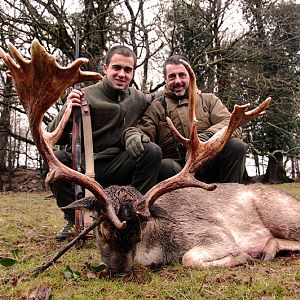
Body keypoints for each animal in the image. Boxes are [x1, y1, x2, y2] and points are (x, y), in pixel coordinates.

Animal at [0, 38, 300, 280]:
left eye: (139, 233)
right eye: (101, 230)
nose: (120, 272)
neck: (158, 245)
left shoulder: (216, 234)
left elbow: (190, 258)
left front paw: (244, 256)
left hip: (281, 214)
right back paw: (271, 248)